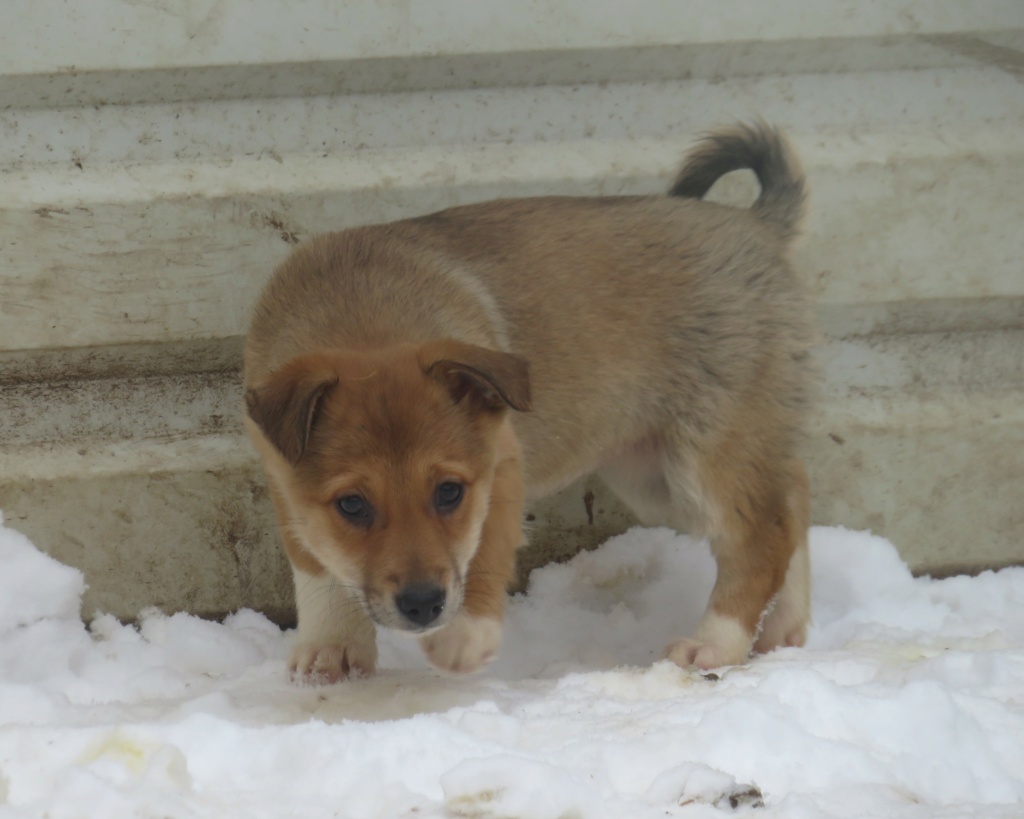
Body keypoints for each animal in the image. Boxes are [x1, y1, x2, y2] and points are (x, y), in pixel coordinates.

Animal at [243, 123, 811, 683]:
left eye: (449, 493)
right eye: (352, 505)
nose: (424, 606)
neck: (362, 317)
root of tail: (756, 225)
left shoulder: (499, 471)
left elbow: (484, 554)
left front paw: (464, 637)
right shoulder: (283, 483)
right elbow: (315, 565)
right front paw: (331, 647)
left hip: (708, 454)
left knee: (761, 538)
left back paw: (715, 644)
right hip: (654, 477)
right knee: (789, 511)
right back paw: (784, 628)